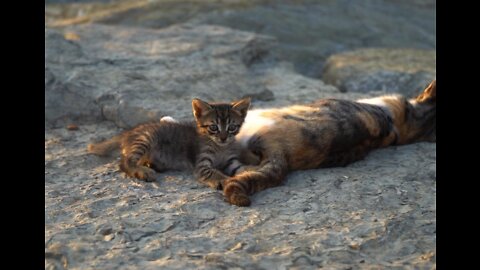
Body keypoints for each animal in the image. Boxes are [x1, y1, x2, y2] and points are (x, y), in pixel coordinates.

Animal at [87, 98, 255, 189]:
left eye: (232, 127)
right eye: (214, 127)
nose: (223, 138)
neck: (220, 148)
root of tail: (128, 133)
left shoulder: (231, 161)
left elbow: (241, 168)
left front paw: (251, 171)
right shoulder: (201, 164)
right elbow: (213, 172)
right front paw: (227, 180)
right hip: (145, 140)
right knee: (124, 162)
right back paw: (143, 171)